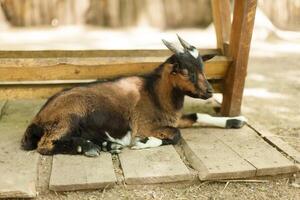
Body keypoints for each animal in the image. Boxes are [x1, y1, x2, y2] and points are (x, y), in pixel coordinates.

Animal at [20, 36, 246, 158]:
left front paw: (237, 120)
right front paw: (142, 143)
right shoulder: (145, 125)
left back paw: (107, 145)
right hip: (67, 118)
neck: (154, 93)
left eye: (202, 67)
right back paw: (90, 147)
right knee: (45, 145)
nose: (209, 91)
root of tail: (37, 119)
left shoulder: (173, 118)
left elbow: (197, 116)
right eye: (184, 70)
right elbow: (175, 136)